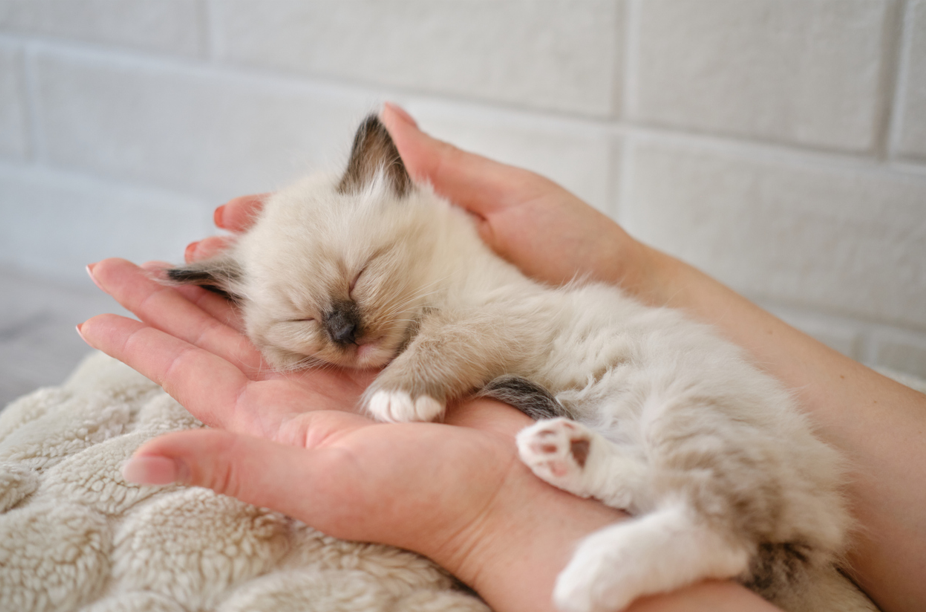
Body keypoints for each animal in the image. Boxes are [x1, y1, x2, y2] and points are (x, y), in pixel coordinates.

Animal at [169, 116, 876, 612]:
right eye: (304, 322)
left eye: (361, 275)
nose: (346, 331)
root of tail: (825, 521)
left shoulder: (497, 314)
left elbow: (438, 345)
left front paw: (396, 396)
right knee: (677, 501)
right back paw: (567, 455)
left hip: (688, 412)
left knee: (720, 530)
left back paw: (587, 578)